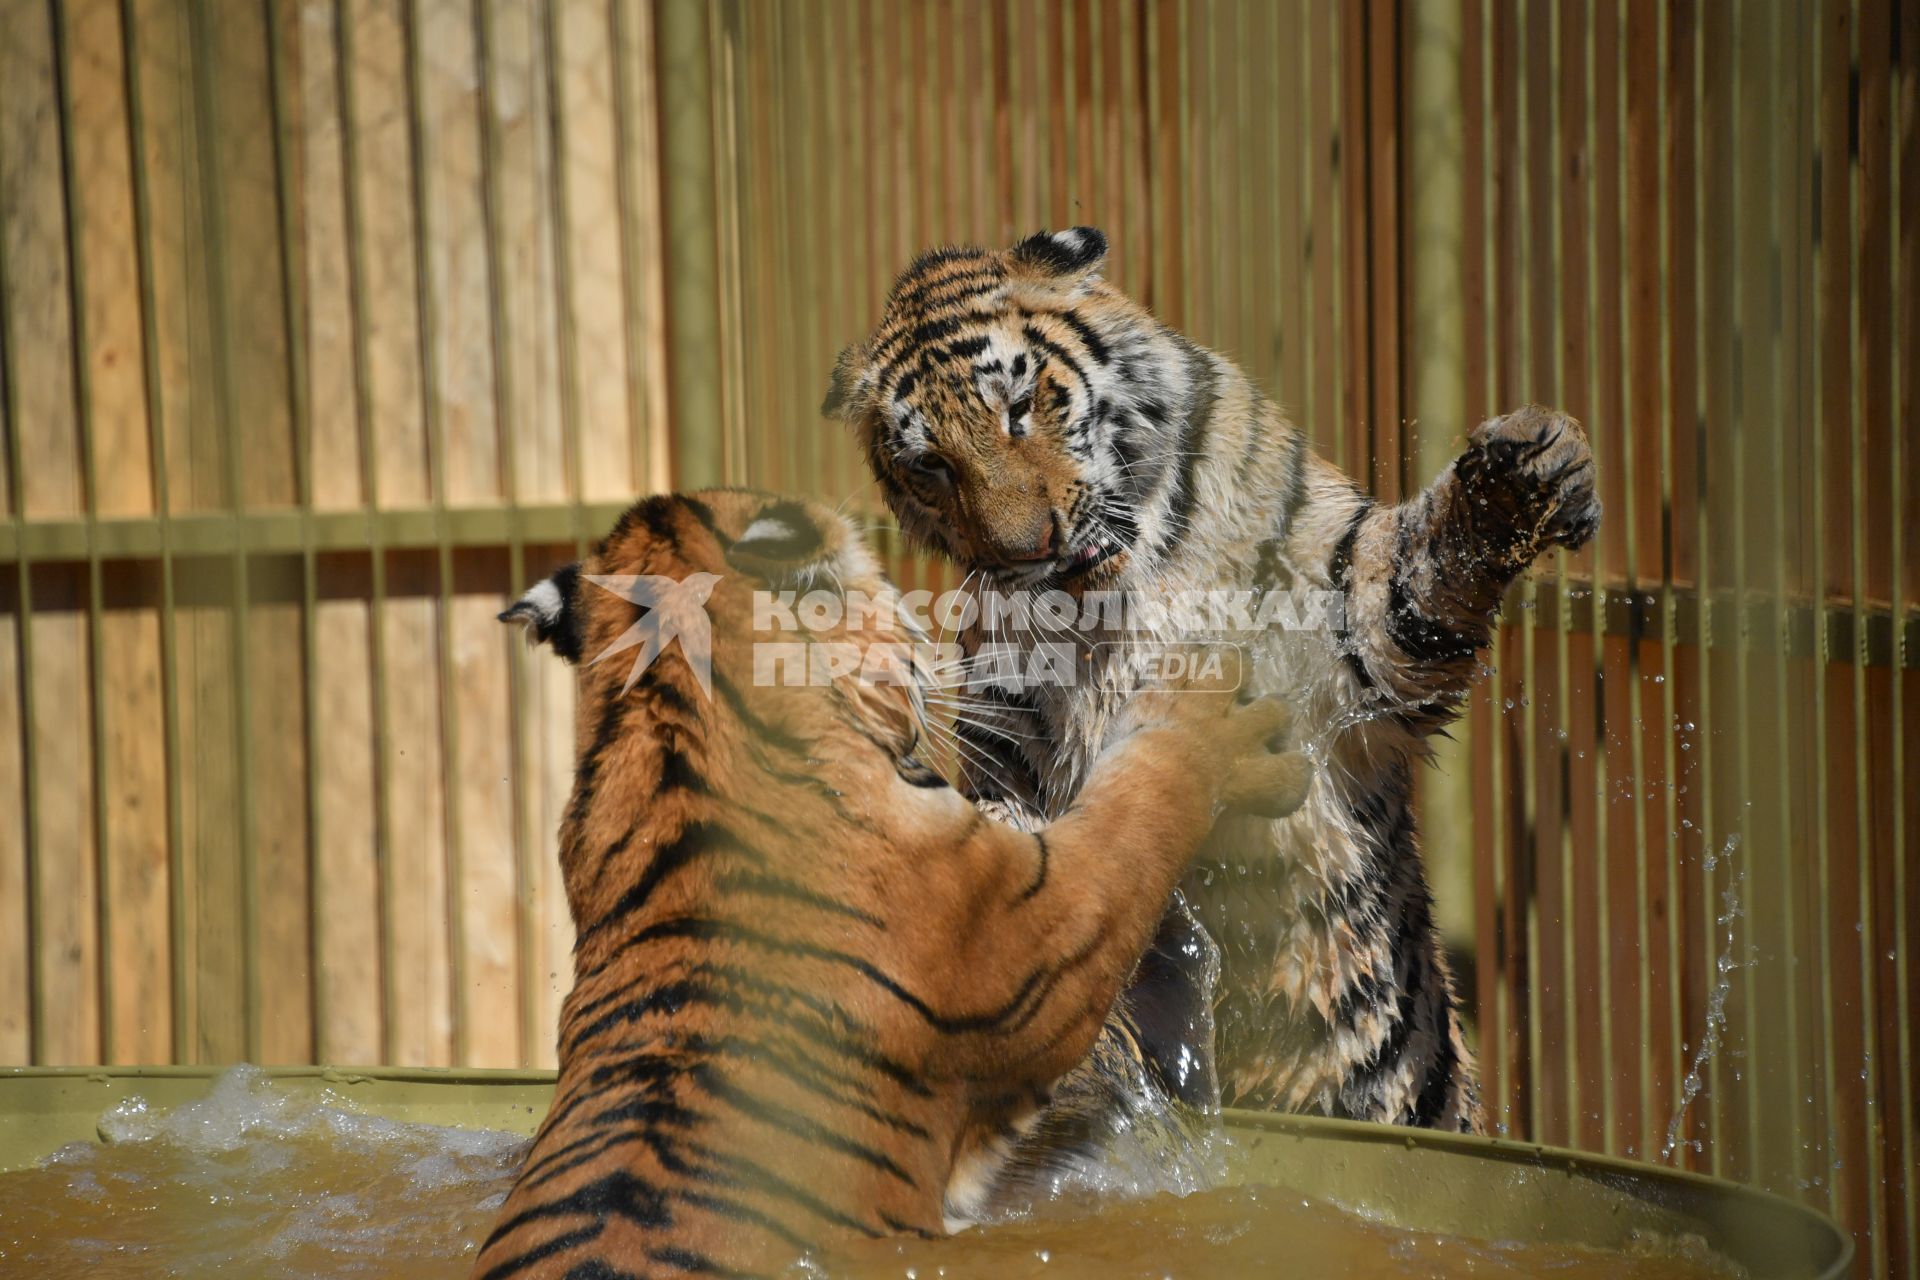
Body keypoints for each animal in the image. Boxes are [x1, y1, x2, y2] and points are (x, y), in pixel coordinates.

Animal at [825, 230, 1605, 1159]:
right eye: (931, 466)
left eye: (1017, 408)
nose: (1028, 550)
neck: (1114, 598)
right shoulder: (1006, 740)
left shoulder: (1348, 628)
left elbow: (1411, 581)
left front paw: (1524, 471)